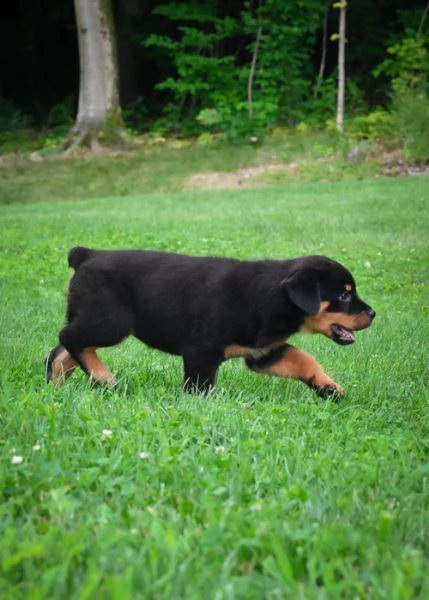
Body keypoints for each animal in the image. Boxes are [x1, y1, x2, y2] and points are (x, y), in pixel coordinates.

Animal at [46, 246, 374, 396]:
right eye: (344, 295)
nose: (373, 313)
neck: (271, 297)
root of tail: (88, 255)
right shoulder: (201, 351)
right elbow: (200, 388)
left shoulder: (264, 352)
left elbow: (304, 359)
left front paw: (328, 387)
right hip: (113, 321)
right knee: (70, 338)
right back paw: (104, 377)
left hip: (93, 317)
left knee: (63, 348)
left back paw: (57, 386)